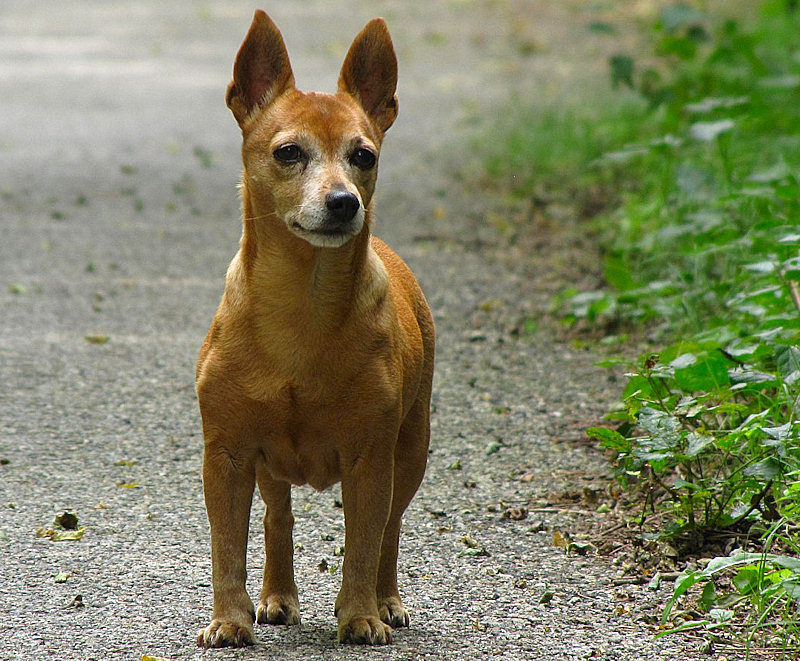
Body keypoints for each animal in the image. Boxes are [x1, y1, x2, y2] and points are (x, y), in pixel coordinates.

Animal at [195, 10, 434, 648]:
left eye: (364, 156)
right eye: (288, 152)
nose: (345, 201)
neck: (303, 301)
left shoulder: (370, 457)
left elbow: (363, 544)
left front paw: (359, 615)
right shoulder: (226, 454)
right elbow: (226, 547)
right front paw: (229, 619)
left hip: (411, 450)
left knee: (389, 532)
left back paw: (386, 600)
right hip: (267, 466)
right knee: (278, 517)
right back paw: (277, 596)